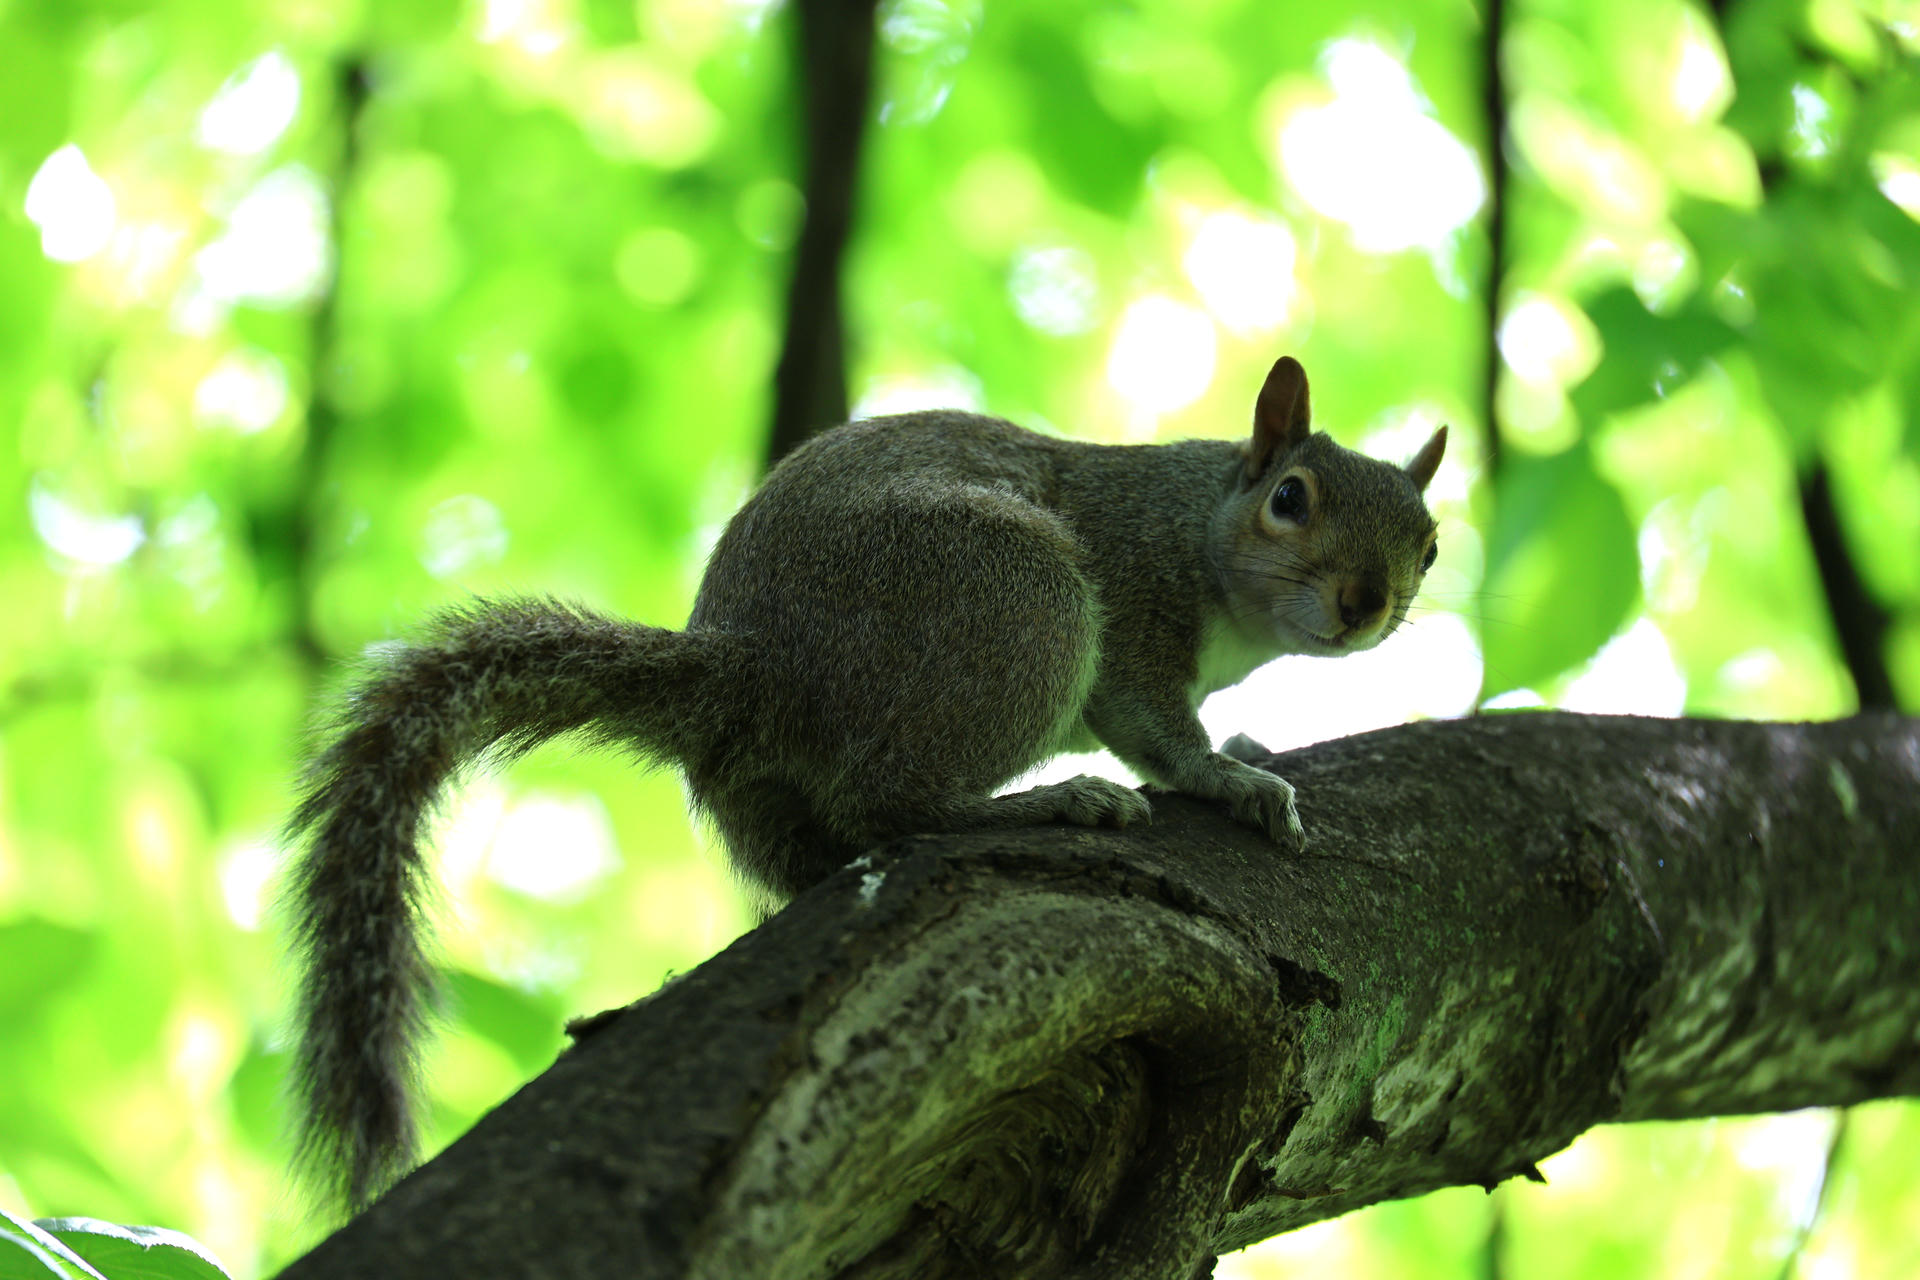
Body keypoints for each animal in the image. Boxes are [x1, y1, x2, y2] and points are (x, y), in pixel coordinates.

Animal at [284, 354, 1445, 1212]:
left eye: (1429, 545)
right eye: (1290, 499)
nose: (1363, 601)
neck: (1204, 532)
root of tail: (764, 666)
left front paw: (1249, 743)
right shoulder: (1138, 606)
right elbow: (1153, 727)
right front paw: (1226, 776)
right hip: (1023, 604)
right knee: (891, 801)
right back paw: (1043, 800)